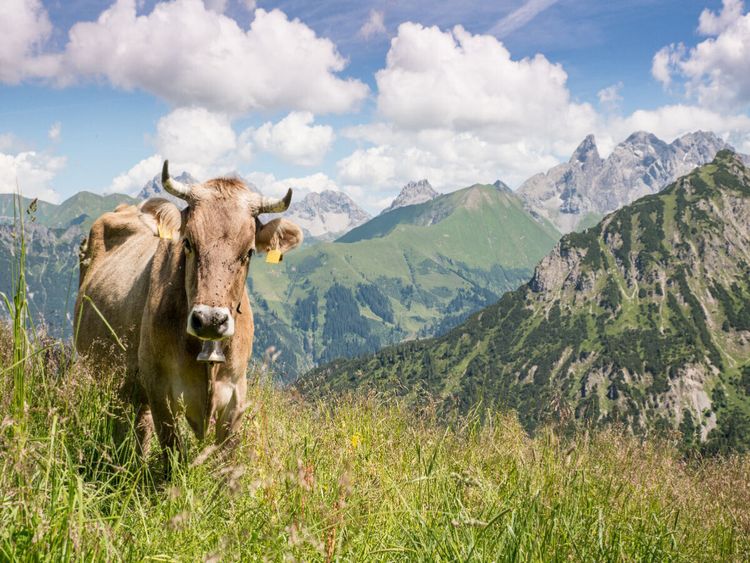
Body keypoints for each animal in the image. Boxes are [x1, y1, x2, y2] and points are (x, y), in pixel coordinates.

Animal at [75, 161, 303, 464]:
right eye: (188, 243)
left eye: (248, 252)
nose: (210, 320)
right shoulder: (160, 389)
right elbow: (172, 453)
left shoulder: (236, 394)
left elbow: (226, 460)